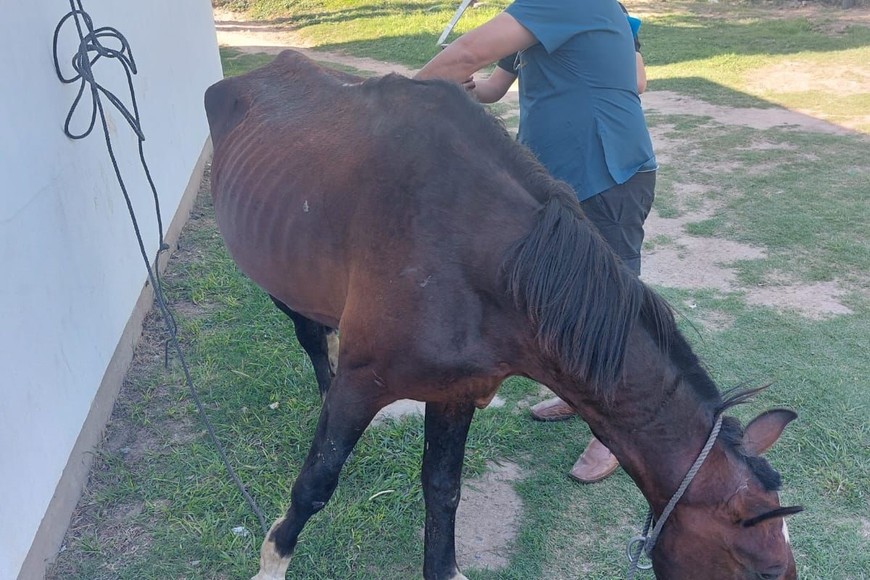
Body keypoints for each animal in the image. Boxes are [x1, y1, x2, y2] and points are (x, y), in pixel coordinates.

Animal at [204, 50, 802, 579]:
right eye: (766, 570)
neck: (485, 259)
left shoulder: (456, 390)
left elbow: (443, 489)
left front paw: (444, 568)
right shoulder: (363, 383)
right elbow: (316, 484)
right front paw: (272, 563)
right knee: (310, 337)